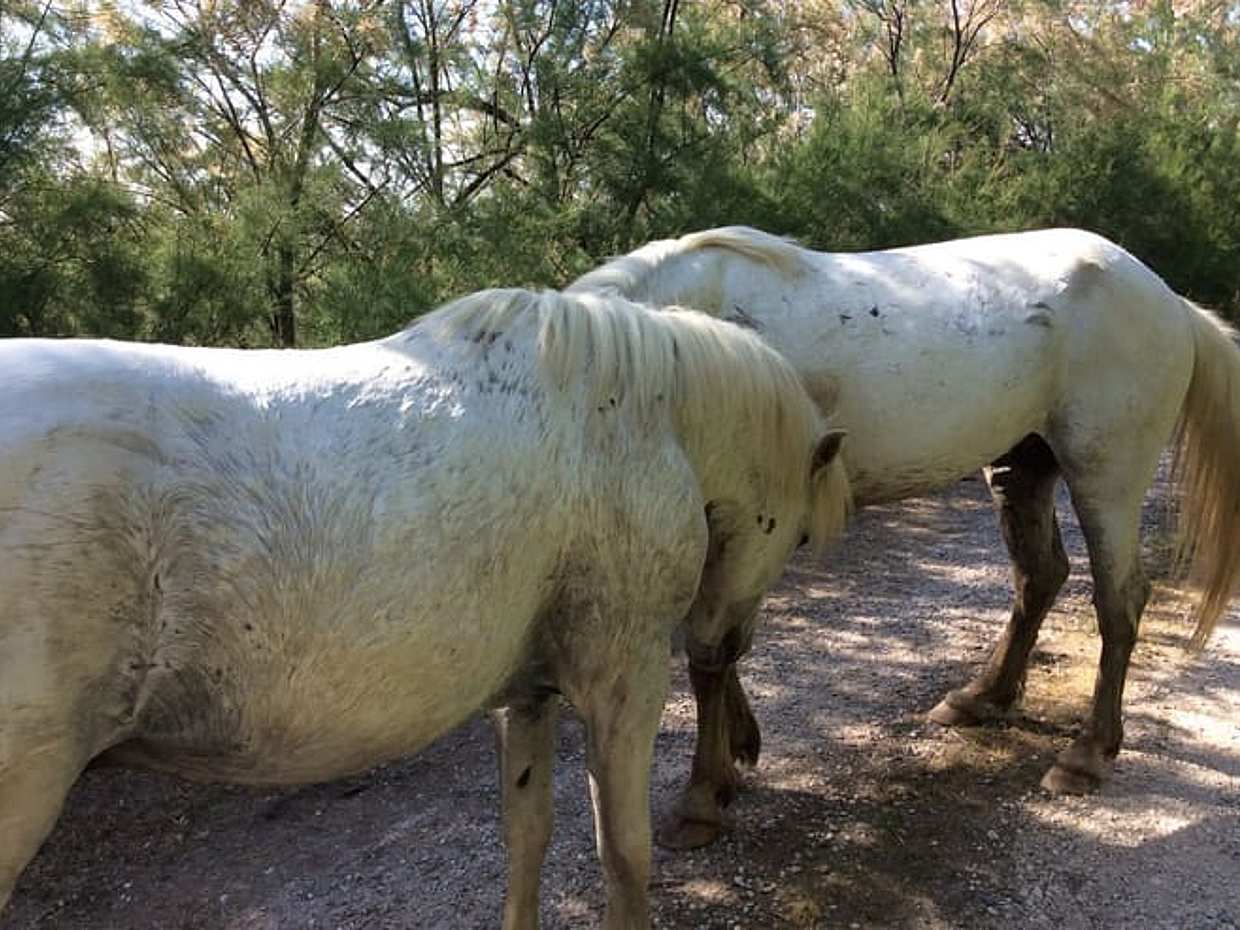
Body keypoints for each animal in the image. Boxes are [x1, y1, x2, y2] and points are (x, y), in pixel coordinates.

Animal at [0, 286, 850, 930]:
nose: (723, 647)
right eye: (798, 531)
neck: (628, 420)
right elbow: (623, 851)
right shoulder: (624, 685)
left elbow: (527, 834)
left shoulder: (526, 693)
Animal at [569, 225, 1240, 849]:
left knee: (1119, 600)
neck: (700, 353)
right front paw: (740, 747)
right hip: (1022, 467)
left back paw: (1087, 754)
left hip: (1107, 475)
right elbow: (722, 643)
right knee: (1040, 577)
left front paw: (704, 797)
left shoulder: (757, 525)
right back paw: (980, 698)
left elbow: (711, 650)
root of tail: (1166, 297)